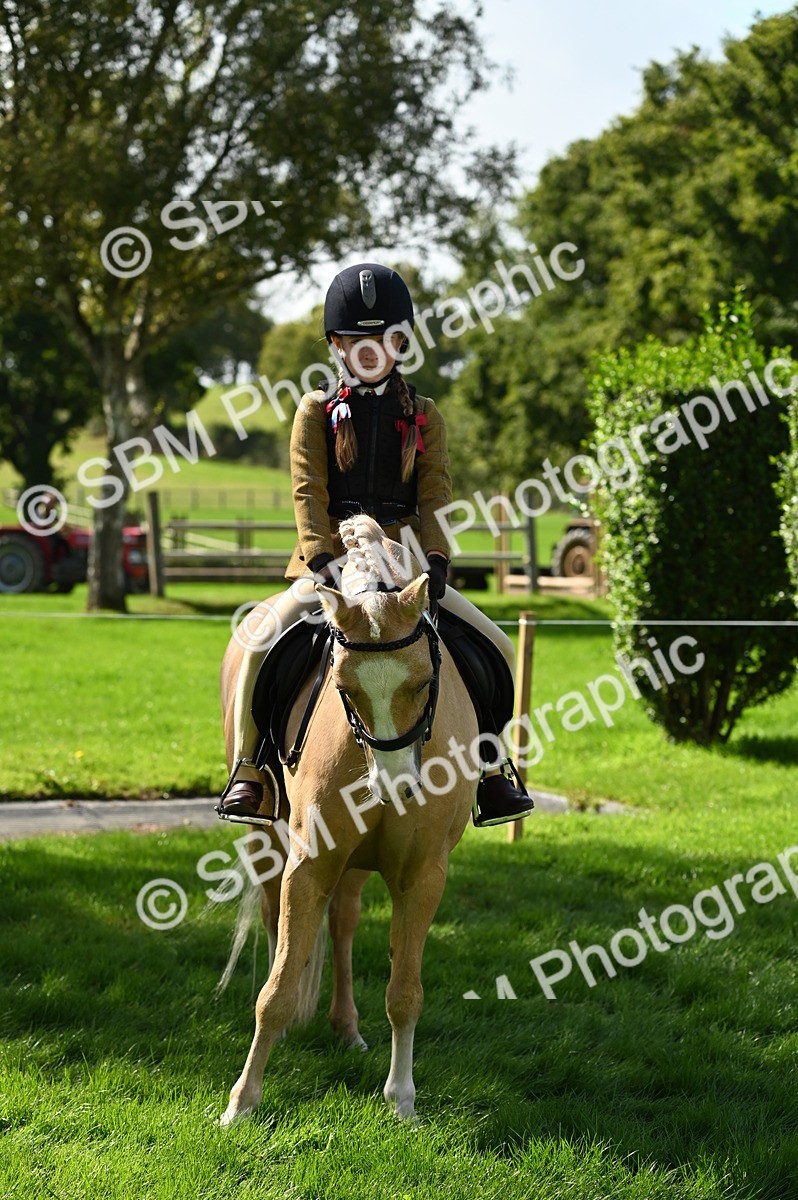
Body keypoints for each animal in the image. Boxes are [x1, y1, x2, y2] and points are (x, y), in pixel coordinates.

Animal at [218, 515, 479, 1124]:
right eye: (343, 686)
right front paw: (242, 1101)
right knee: (274, 917)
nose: (393, 789)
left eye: (423, 682)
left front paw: (402, 1099)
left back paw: (347, 1027)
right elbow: (276, 988)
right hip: (267, 837)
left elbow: (405, 993)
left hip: (359, 864)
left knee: (343, 923)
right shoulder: (309, 864)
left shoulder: (423, 876)